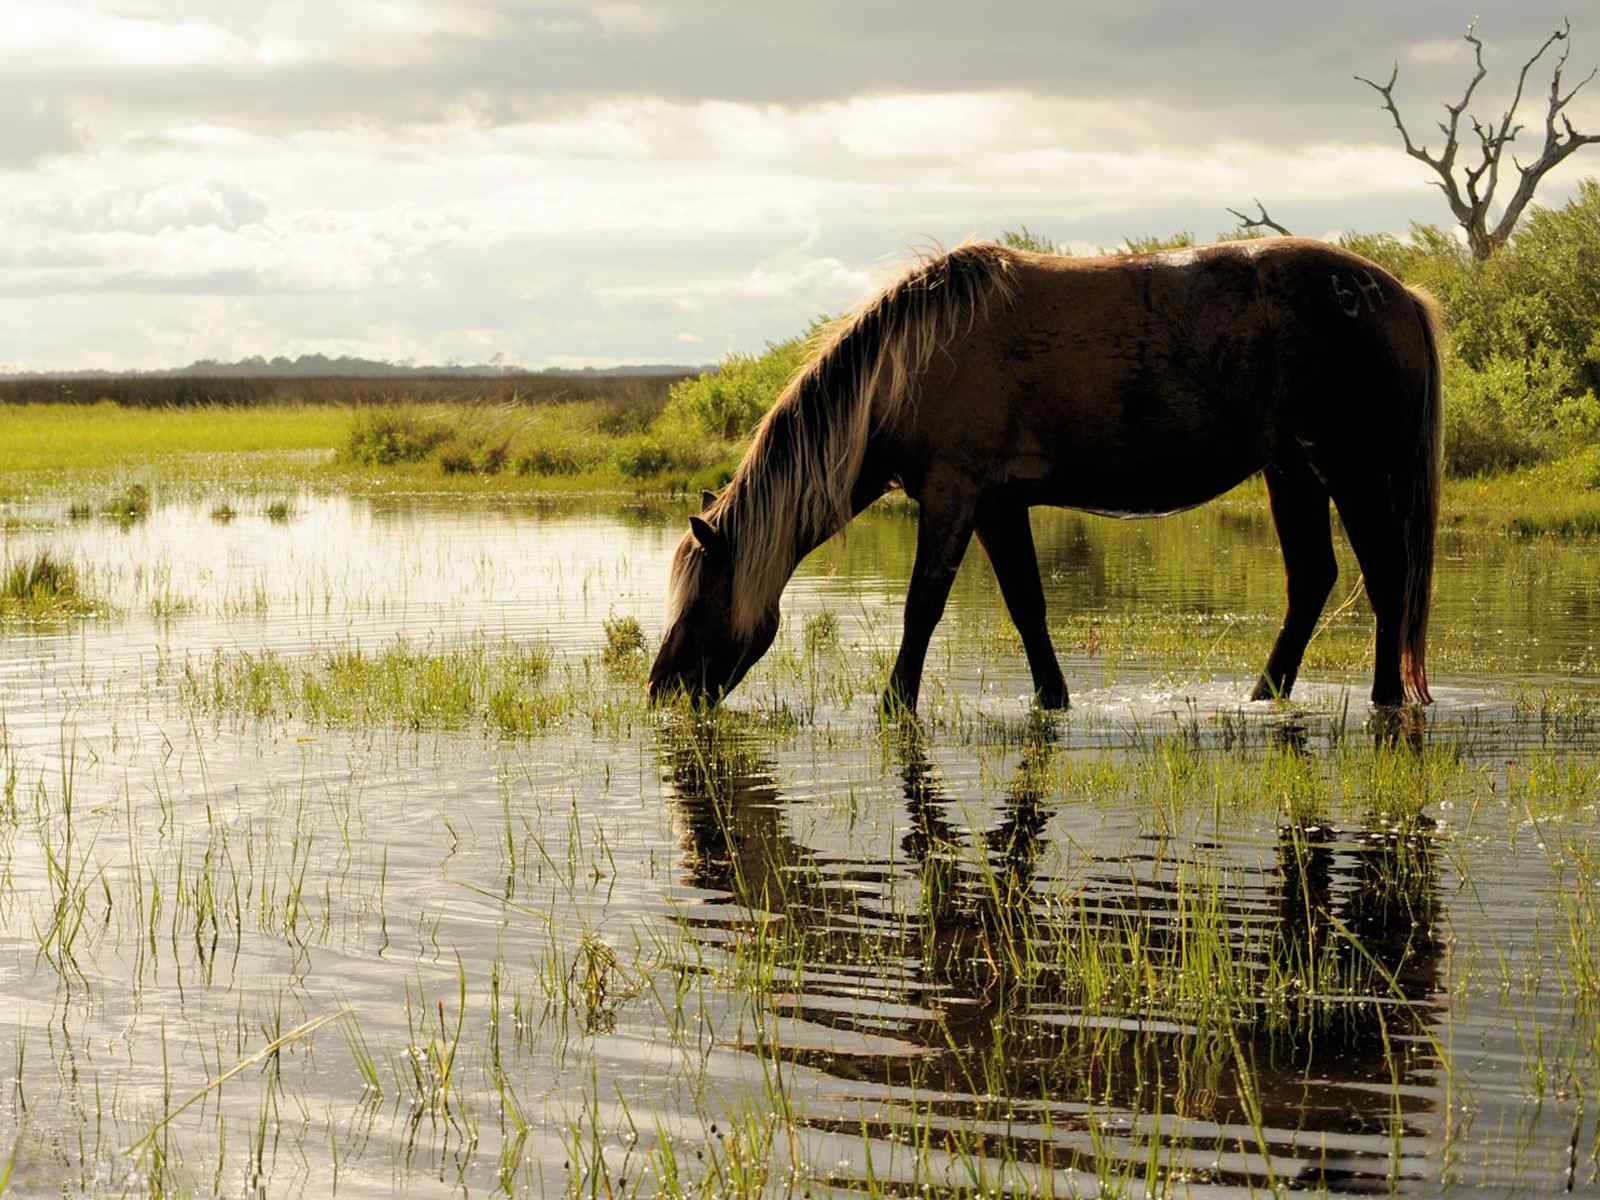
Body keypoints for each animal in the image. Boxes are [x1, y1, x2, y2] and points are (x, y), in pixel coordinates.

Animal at [643, 236, 1446, 713]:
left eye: (704, 596)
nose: (661, 687)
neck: (910, 363)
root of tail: (1401, 295)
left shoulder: (954, 497)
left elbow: (922, 608)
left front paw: (894, 705)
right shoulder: (999, 506)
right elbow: (1027, 605)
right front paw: (1051, 699)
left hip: (1349, 468)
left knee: (1385, 576)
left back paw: (1384, 699)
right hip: (1292, 470)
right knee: (1314, 579)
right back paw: (1264, 695)